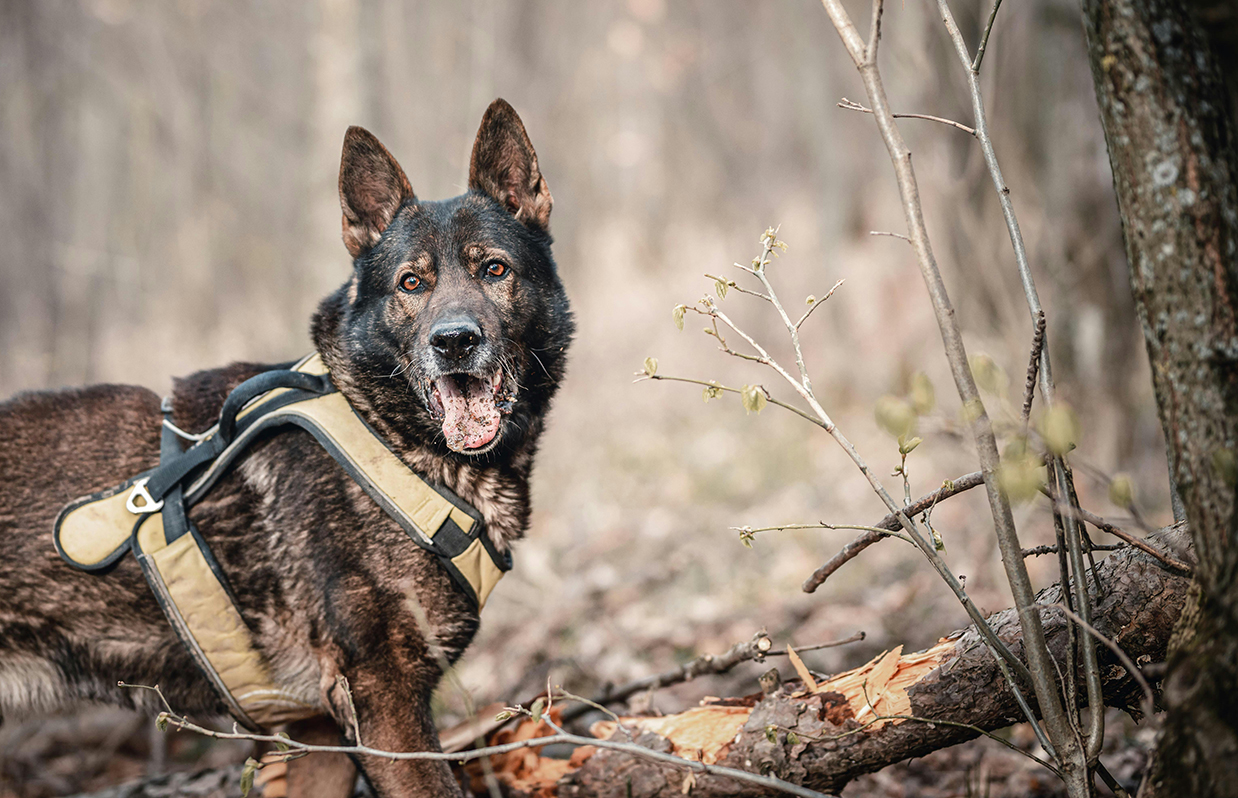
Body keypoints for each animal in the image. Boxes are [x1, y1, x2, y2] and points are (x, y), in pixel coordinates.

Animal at [0, 99, 569, 796]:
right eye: (411, 283)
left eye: (495, 270)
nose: (454, 341)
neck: (384, 435)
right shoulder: (386, 705)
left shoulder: (319, 734)